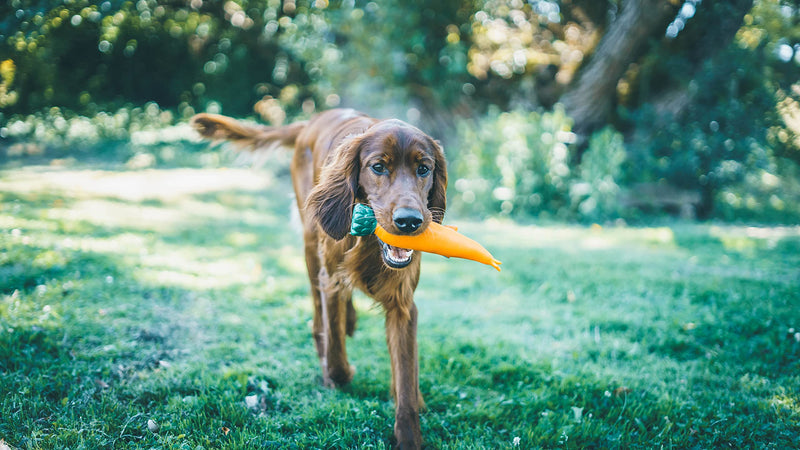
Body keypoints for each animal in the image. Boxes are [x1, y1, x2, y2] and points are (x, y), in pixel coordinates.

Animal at [191, 108, 446, 446]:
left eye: (423, 169)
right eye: (378, 167)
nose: (410, 221)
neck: (369, 243)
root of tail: (312, 121)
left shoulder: (402, 304)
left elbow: (406, 379)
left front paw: (408, 436)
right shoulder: (331, 280)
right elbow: (335, 353)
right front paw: (337, 374)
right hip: (312, 245)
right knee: (317, 313)